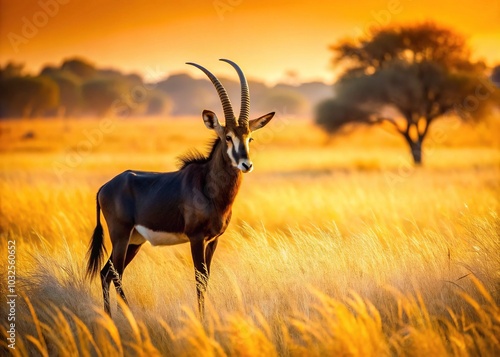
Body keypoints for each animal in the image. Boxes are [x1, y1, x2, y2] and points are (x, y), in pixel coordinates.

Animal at [86, 59, 274, 318]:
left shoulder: (213, 240)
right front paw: (202, 319)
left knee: (106, 273)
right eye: (227, 137)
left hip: (134, 240)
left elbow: (206, 278)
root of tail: (105, 187)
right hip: (121, 236)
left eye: (249, 138)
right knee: (114, 274)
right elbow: (199, 279)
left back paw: (110, 318)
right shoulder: (196, 238)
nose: (246, 164)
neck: (209, 188)